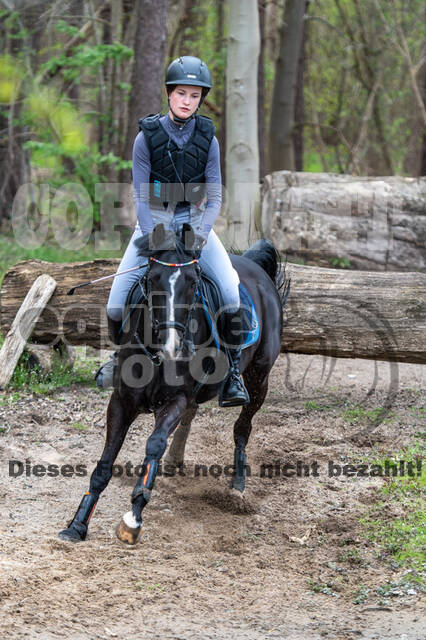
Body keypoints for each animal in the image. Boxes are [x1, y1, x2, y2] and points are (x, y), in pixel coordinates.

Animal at [58, 222, 288, 544]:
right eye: (152, 279)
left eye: (192, 283)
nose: (172, 346)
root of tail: (254, 265)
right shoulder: (121, 400)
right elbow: (104, 464)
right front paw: (77, 524)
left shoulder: (174, 400)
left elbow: (154, 445)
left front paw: (133, 517)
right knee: (193, 414)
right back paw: (175, 460)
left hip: (259, 377)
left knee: (242, 427)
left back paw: (236, 488)